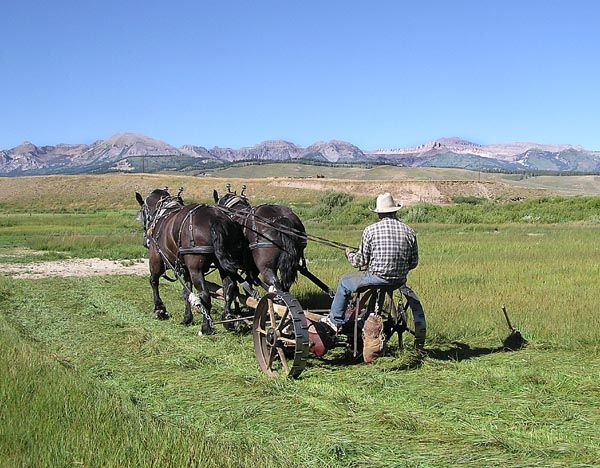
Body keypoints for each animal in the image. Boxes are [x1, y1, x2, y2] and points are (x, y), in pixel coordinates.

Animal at [136, 188, 248, 334]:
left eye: (143, 210)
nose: (146, 241)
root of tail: (215, 219)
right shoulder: (185, 269)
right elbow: (186, 292)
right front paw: (187, 318)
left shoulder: (156, 257)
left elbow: (154, 281)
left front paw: (159, 309)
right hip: (222, 263)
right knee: (229, 287)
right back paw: (228, 320)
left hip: (195, 267)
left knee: (204, 294)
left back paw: (206, 326)